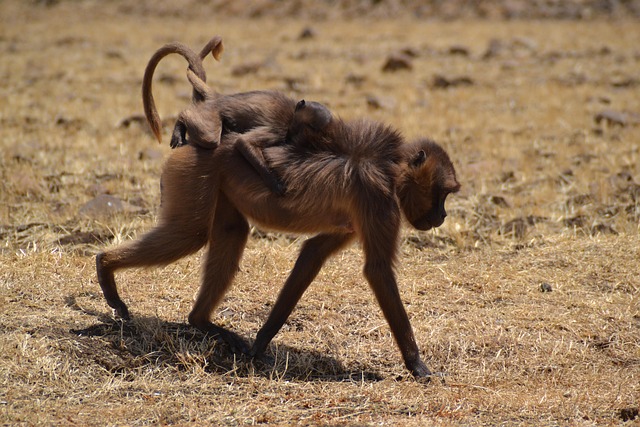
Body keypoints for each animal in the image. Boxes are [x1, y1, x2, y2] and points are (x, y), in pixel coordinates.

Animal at [96, 36, 461, 380]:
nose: (442, 216)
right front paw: (418, 366)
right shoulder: (379, 201)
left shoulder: (356, 218)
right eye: (443, 194)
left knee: (232, 231)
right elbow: (378, 270)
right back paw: (105, 265)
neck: (390, 167)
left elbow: (312, 254)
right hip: (196, 169)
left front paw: (261, 343)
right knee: (190, 234)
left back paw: (201, 322)